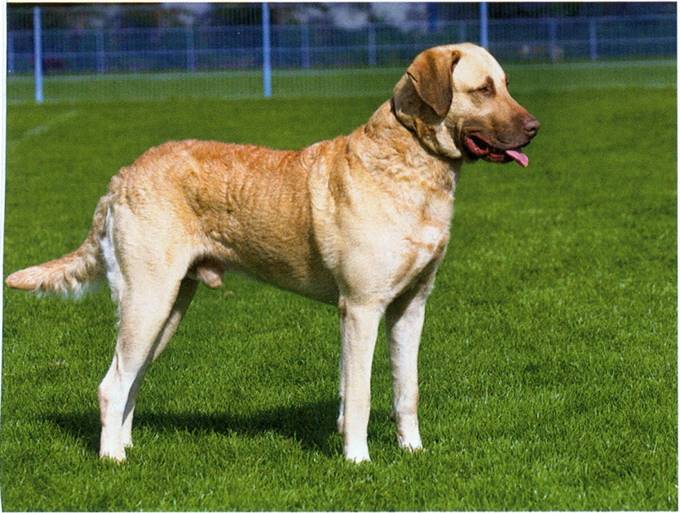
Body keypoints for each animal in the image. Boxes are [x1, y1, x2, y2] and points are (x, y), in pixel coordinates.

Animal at [3, 42, 536, 462]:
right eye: (483, 90)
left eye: (508, 85)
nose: (534, 128)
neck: (413, 163)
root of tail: (121, 177)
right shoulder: (362, 307)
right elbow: (360, 393)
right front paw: (358, 461)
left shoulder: (411, 305)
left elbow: (407, 389)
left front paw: (413, 452)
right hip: (146, 298)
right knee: (111, 384)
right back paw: (112, 459)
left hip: (169, 305)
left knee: (131, 379)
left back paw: (125, 444)